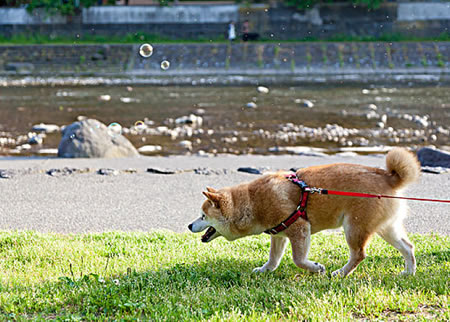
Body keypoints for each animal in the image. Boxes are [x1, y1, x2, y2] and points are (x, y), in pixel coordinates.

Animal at [188, 148, 420, 276]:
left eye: (203, 216)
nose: (189, 225)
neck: (252, 202)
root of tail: (389, 177)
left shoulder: (299, 229)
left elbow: (298, 259)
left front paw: (316, 268)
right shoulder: (279, 235)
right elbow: (273, 259)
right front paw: (265, 270)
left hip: (354, 228)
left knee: (359, 254)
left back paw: (341, 273)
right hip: (385, 228)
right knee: (408, 247)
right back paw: (408, 273)